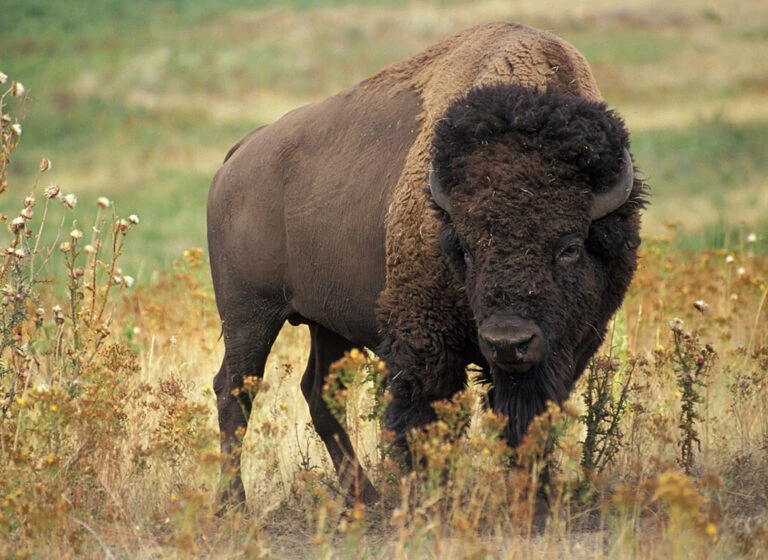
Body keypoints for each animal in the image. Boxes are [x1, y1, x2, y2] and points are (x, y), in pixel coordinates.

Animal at [207, 22, 646, 507]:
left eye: (570, 246)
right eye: (466, 248)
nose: (507, 342)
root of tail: (241, 153)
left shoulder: (568, 347)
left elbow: (528, 420)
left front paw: (535, 498)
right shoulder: (425, 344)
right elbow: (425, 421)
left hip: (327, 323)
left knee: (318, 393)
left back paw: (366, 498)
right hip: (249, 315)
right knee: (234, 391)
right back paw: (235, 504)